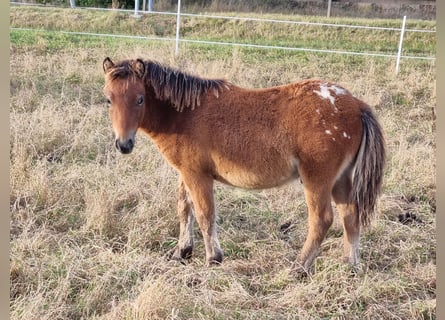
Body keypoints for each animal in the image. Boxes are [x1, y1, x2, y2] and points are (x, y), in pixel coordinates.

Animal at [102, 57, 384, 272]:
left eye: (140, 99)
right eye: (108, 99)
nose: (123, 144)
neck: (184, 114)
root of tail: (355, 104)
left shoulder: (197, 175)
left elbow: (205, 213)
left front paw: (213, 258)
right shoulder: (185, 173)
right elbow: (185, 208)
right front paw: (182, 251)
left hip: (318, 179)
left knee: (321, 220)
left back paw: (299, 267)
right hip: (341, 179)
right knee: (350, 214)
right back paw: (350, 265)